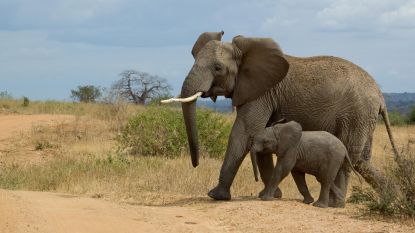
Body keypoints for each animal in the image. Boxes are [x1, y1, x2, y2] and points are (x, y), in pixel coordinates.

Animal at [165, 30, 400, 202]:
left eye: (217, 68)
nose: (195, 164)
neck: (244, 52)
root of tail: (380, 96)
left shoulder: (261, 92)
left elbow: (245, 132)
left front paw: (216, 196)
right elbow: (259, 133)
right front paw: (272, 195)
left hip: (356, 113)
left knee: (351, 156)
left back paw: (337, 203)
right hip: (363, 116)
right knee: (361, 161)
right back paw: (393, 197)